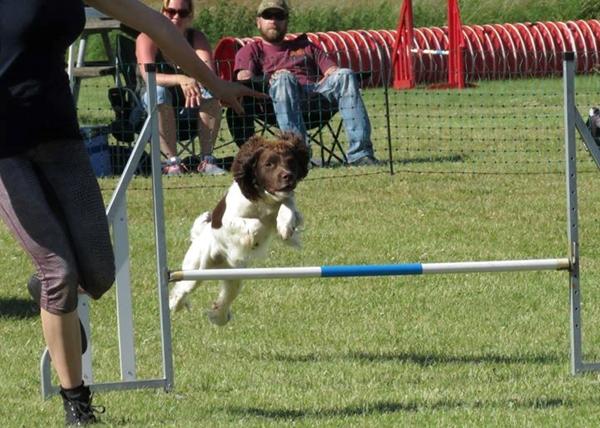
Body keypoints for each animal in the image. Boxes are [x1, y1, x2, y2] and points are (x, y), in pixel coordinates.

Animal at [169, 133, 310, 324]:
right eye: (269, 164)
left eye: (291, 161)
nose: (288, 176)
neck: (264, 198)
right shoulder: (229, 219)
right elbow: (256, 223)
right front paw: (255, 237)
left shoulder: (285, 201)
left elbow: (287, 207)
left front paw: (285, 228)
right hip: (196, 269)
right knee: (183, 287)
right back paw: (175, 304)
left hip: (233, 275)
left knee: (227, 295)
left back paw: (219, 316)